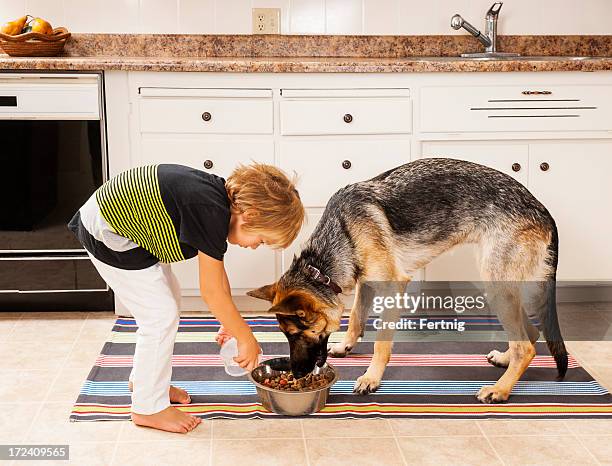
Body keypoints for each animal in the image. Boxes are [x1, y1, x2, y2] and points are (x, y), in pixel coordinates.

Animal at [246, 158, 568, 402]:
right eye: (286, 335)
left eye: (297, 334)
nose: (298, 375)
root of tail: (543, 209)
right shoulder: (366, 283)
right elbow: (356, 319)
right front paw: (346, 346)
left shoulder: (392, 287)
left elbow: (380, 343)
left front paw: (371, 378)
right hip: (502, 287)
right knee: (531, 332)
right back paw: (504, 360)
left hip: (496, 286)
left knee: (526, 347)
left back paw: (500, 389)